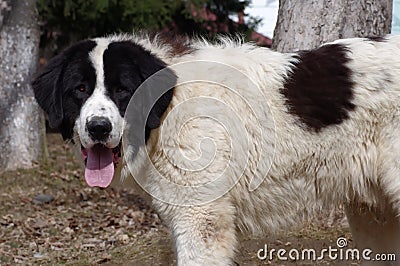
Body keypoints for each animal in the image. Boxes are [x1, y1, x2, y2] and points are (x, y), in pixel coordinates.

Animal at [32, 33, 400, 266]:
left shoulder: (201, 220)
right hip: (373, 211)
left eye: (123, 90)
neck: (168, 108)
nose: (98, 127)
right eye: (80, 89)